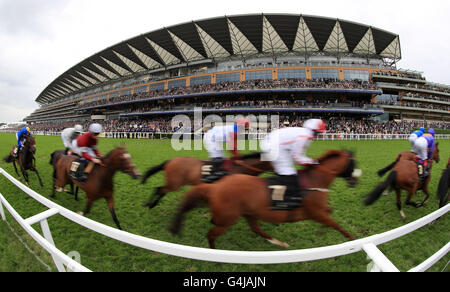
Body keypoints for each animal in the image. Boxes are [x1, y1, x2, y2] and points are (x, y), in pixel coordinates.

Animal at [142, 153, 272, 210]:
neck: (238, 169)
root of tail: (169, 161)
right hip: (175, 184)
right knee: (159, 189)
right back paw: (149, 204)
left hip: (174, 183)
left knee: (162, 190)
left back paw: (151, 204)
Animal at [169, 151, 362, 249]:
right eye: (353, 164)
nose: (355, 180)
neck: (314, 182)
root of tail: (215, 187)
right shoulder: (316, 213)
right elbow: (336, 224)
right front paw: (352, 239)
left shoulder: (319, 212)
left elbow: (330, 214)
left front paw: (323, 232)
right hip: (228, 219)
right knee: (211, 233)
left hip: (248, 213)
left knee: (256, 229)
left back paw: (279, 242)